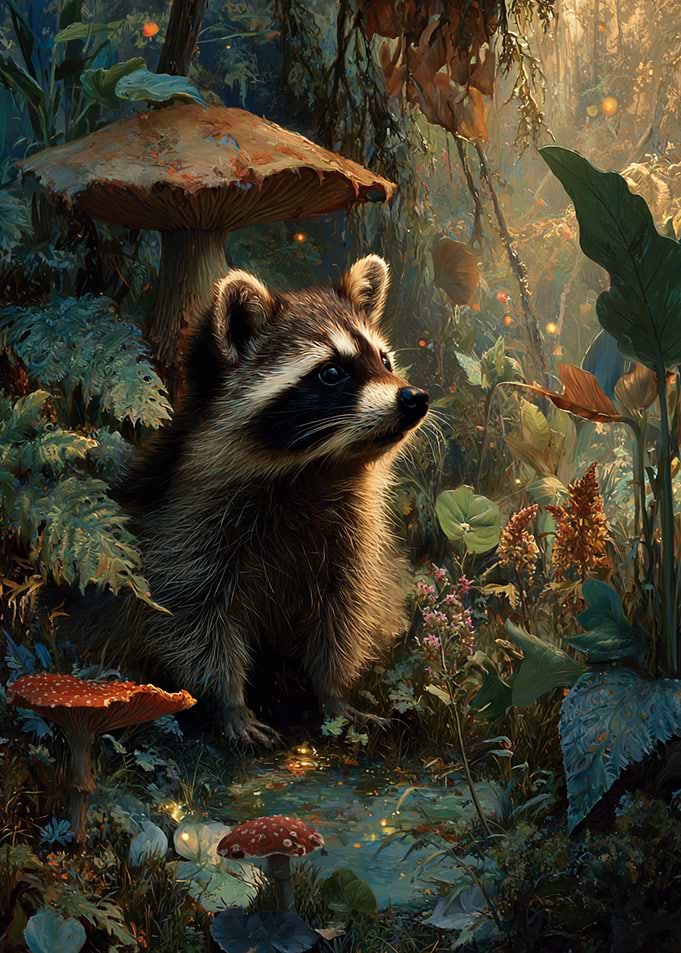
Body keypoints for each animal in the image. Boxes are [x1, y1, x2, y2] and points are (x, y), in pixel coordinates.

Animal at [57, 255, 429, 745]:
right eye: (331, 372)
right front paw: (229, 701)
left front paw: (332, 692)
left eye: (383, 359)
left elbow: (342, 614)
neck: (314, 470)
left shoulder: (354, 538)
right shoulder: (184, 526)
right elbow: (192, 618)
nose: (415, 397)